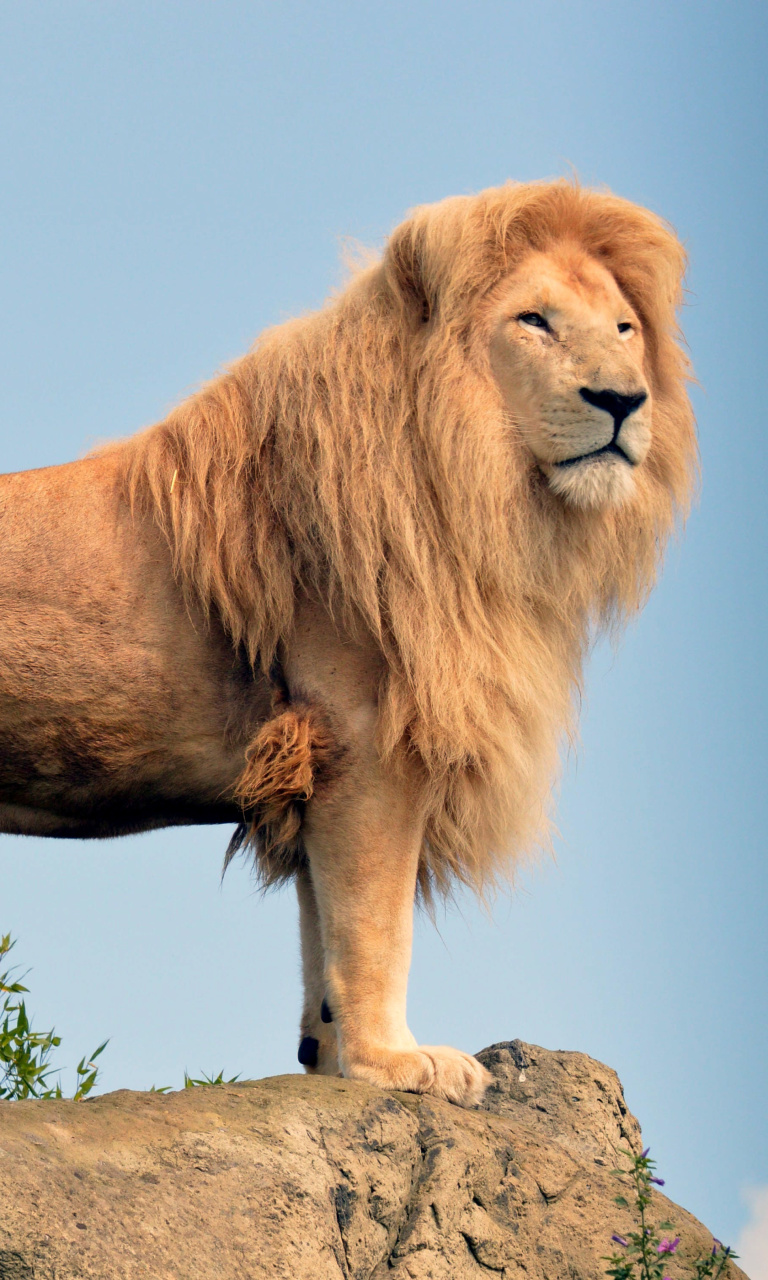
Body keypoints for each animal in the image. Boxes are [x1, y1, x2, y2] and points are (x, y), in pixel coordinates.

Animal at [0, 183, 696, 1111]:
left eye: (624, 329)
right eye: (534, 321)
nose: (623, 401)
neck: (483, 493)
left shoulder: (313, 766)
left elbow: (320, 930)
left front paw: (329, 1058)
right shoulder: (365, 742)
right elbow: (375, 918)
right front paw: (395, 1062)